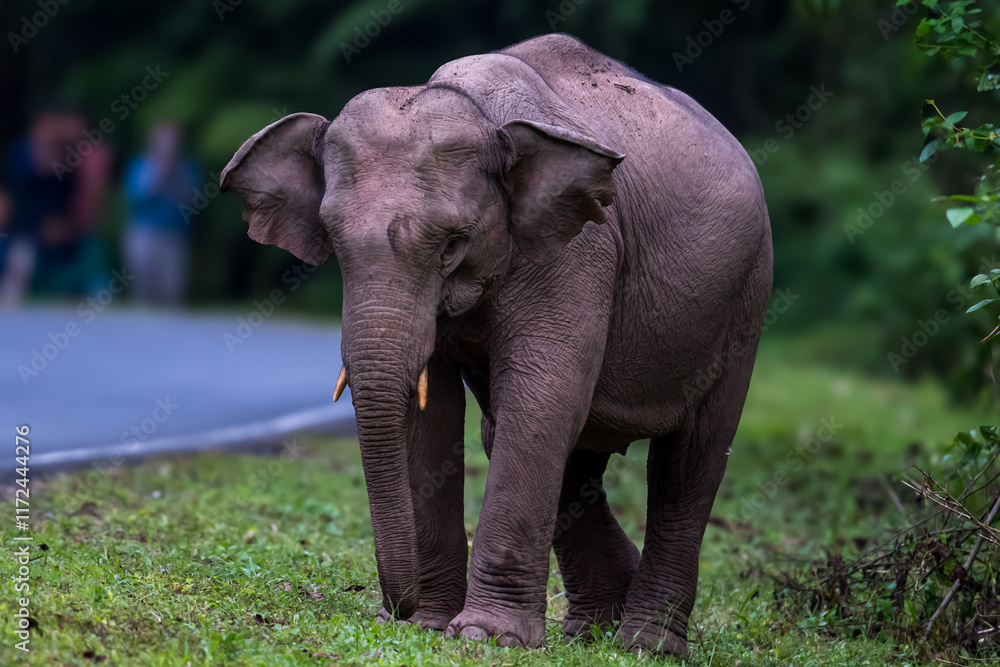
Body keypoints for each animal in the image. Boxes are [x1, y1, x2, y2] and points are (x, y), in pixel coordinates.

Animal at [221, 33, 772, 657]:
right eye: (333, 243)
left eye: (452, 245)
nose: (393, 609)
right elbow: (433, 413)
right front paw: (432, 626)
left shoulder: (578, 249)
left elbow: (541, 400)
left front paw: (485, 635)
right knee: (560, 451)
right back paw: (594, 628)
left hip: (746, 294)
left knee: (689, 462)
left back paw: (644, 644)